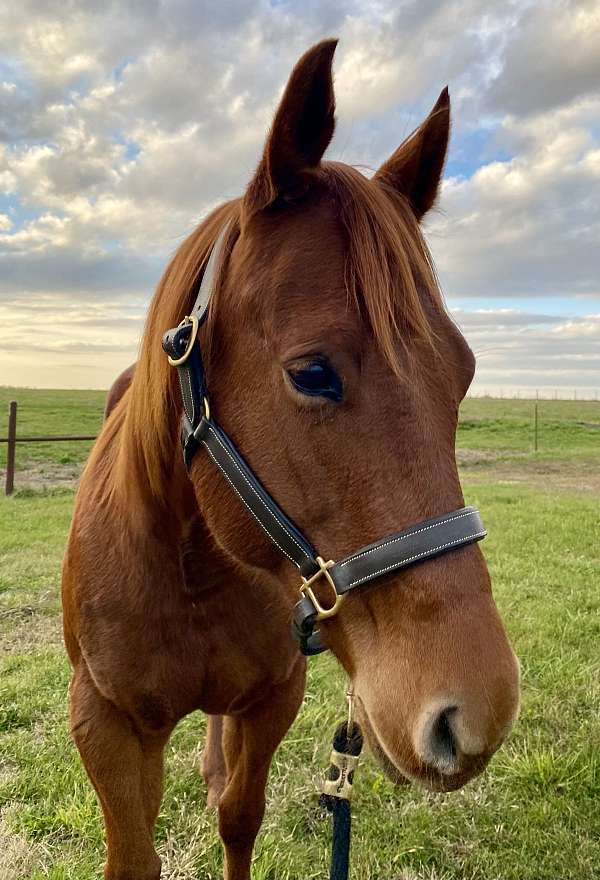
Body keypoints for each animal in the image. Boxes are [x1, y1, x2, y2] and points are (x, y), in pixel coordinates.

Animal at [62, 39, 520, 880]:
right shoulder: (103, 724)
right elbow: (133, 853)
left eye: (465, 372)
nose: (475, 715)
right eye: (311, 373)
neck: (189, 569)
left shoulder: (275, 695)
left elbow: (239, 817)